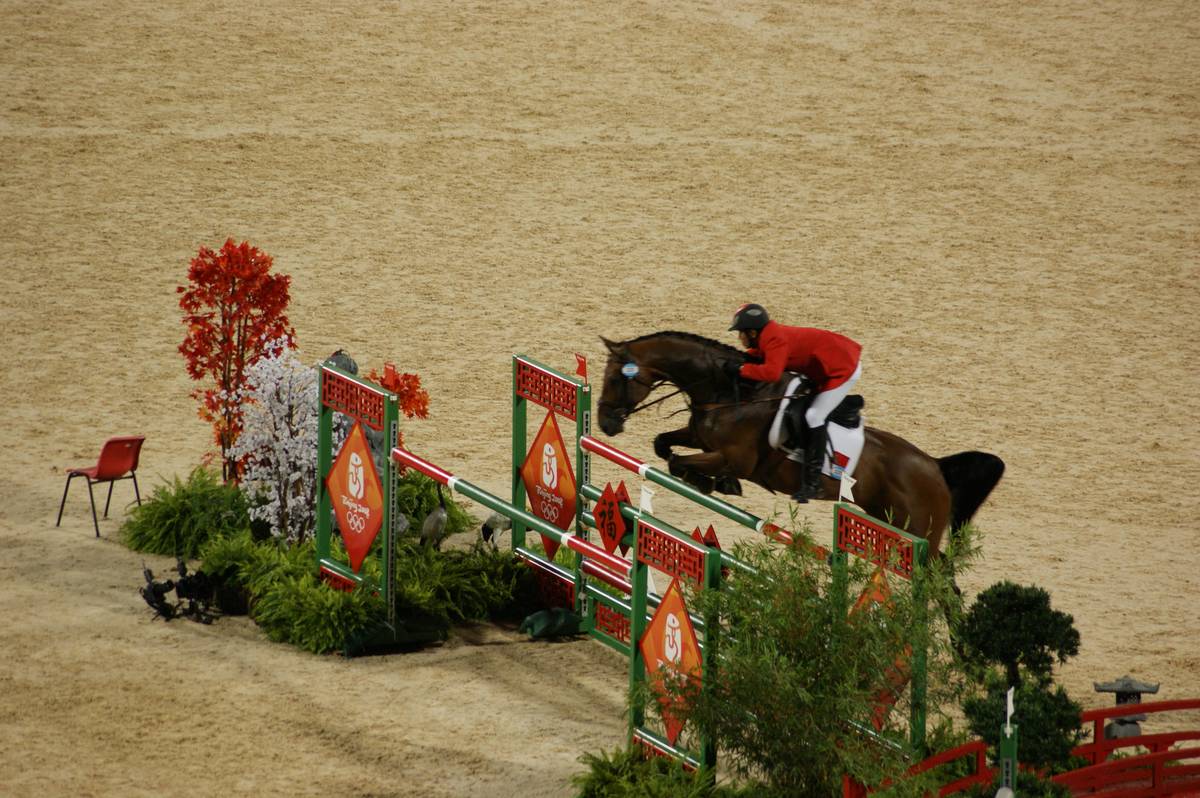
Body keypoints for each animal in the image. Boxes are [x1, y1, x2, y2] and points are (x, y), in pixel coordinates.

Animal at [596, 332, 1004, 559]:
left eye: (616, 378)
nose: (604, 423)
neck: (733, 392)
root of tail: (936, 467)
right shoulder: (699, 437)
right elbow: (663, 447)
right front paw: (714, 483)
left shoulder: (733, 457)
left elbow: (683, 463)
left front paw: (717, 483)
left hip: (916, 534)